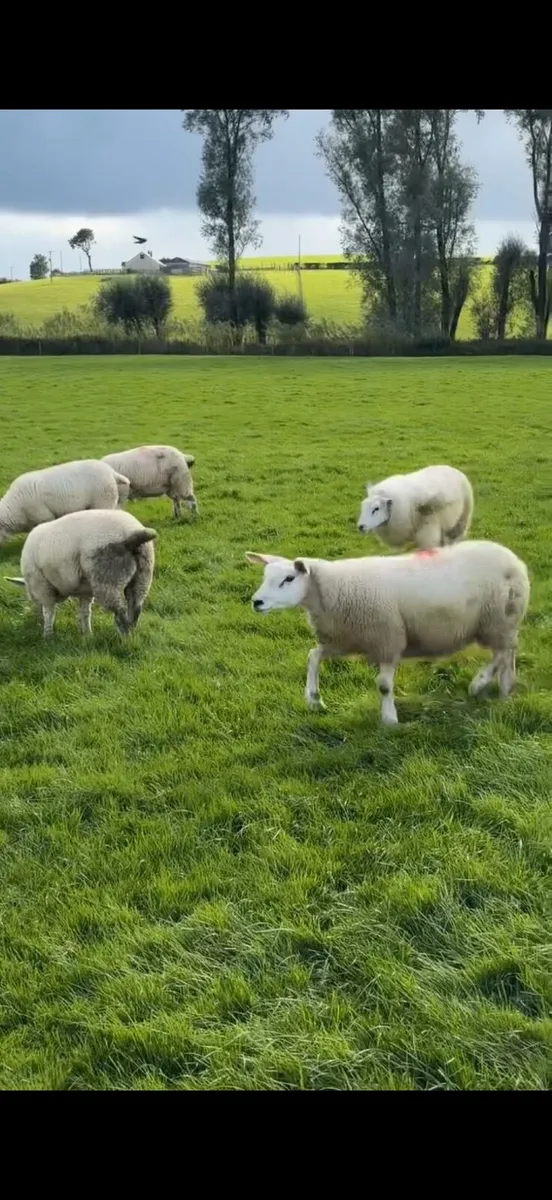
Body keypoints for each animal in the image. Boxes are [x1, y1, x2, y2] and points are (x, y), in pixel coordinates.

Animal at [6, 509, 156, 637]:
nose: (34, 621)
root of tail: (130, 533)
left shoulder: (42, 587)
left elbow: (48, 612)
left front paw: (47, 636)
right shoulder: (85, 591)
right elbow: (85, 612)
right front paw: (87, 635)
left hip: (107, 578)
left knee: (120, 611)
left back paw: (125, 637)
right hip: (143, 575)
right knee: (135, 607)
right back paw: (132, 633)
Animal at [246, 540, 529, 726]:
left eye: (288, 579)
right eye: (266, 576)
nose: (256, 602)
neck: (332, 591)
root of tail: (515, 559)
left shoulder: (387, 639)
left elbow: (383, 685)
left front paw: (389, 719)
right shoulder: (344, 638)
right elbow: (312, 656)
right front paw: (313, 699)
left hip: (497, 619)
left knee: (502, 652)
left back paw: (479, 683)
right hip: (504, 622)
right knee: (508, 653)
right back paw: (506, 691)